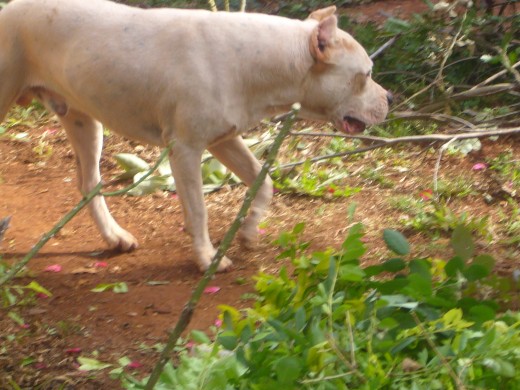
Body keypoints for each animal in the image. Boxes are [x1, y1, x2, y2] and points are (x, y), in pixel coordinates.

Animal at [0, 0, 390, 272]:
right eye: (366, 74)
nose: (391, 98)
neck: (262, 60)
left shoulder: (225, 140)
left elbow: (262, 183)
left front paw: (248, 232)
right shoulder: (186, 149)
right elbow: (200, 209)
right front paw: (207, 259)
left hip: (84, 121)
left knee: (89, 183)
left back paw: (115, 237)